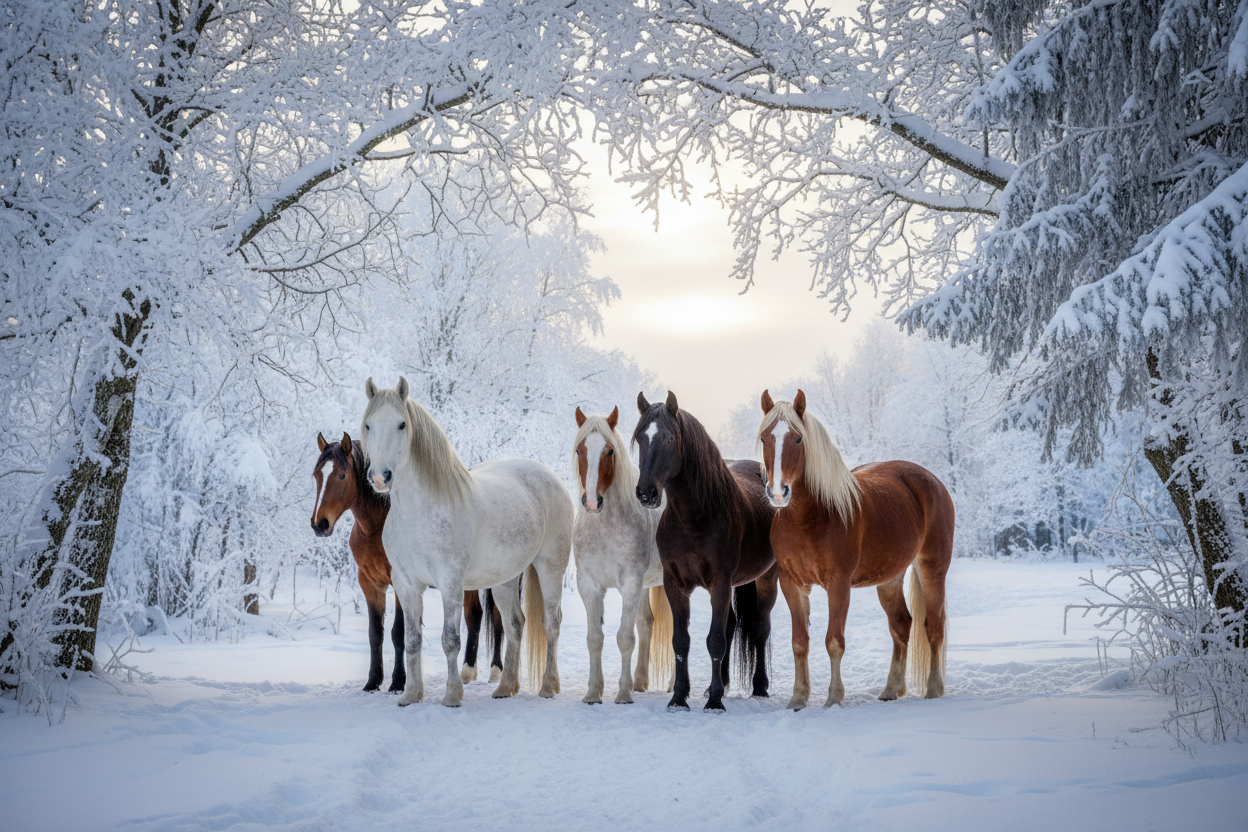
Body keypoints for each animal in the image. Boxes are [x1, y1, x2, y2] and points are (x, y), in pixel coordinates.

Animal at [310, 432, 505, 692]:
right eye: (316, 474)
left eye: (341, 475)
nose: (319, 524)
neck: (377, 527)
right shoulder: (370, 583)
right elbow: (375, 633)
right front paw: (373, 681)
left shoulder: (402, 582)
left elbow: (398, 633)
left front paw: (399, 682)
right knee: (474, 616)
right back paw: (467, 672)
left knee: (500, 619)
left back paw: (497, 671)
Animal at [360, 376, 574, 707]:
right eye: (369, 425)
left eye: (401, 424)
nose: (380, 478)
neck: (418, 514)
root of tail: (551, 477)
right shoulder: (406, 584)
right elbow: (411, 640)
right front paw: (411, 694)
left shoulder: (450, 583)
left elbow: (450, 640)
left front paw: (452, 695)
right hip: (505, 579)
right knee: (515, 624)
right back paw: (505, 687)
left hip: (551, 567)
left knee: (551, 623)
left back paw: (548, 686)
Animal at [572, 406, 674, 704]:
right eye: (579, 450)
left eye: (610, 451)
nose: (592, 502)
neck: (604, 527)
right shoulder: (589, 585)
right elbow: (595, 638)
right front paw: (593, 693)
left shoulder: (630, 583)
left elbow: (624, 637)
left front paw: (623, 693)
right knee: (647, 624)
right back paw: (641, 681)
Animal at [632, 391, 780, 712]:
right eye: (640, 438)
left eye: (669, 439)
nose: (646, 493)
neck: (695, 518)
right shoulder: (675, 584)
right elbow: (681, 641)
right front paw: (679, 697)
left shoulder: (719, 583)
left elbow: (714, 641)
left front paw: (714, 702)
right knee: (731, 625)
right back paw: (720, 684)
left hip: (766, 578)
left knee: (760, 627)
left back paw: (759, 687)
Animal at [756, 389, 954, 709]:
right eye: (764, 438)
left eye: (797, 439)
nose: (777, 492)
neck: (808, 517)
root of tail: (931, 481)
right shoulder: (791, 583)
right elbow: (800, 642)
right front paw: (798, 699)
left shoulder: (838, 584)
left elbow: (834, 641)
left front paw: (834, 698)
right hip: (890, 578)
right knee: (901, 625)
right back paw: (891, 689)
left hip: (933, 568)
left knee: (933, 626)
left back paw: (934, 689)